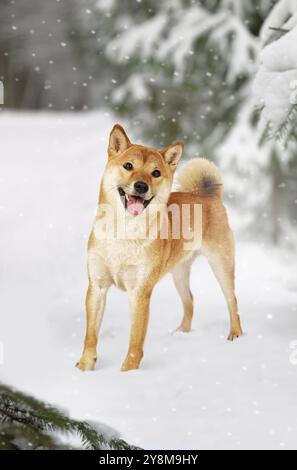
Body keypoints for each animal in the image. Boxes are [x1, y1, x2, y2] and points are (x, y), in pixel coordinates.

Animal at [77, 124, 243, 370]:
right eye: (128, 166)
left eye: (155, 173)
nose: (141, 185)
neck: (124, 232)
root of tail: (208, 195)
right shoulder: (97, 286)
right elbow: (90, 335)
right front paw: (85, 367)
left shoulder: (139, 292)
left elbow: (135, 342)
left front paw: (128, 372)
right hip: (179, 272)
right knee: (190, 301)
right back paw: (181, 334)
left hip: (221, 264)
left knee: (232, 301)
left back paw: (236, 336)